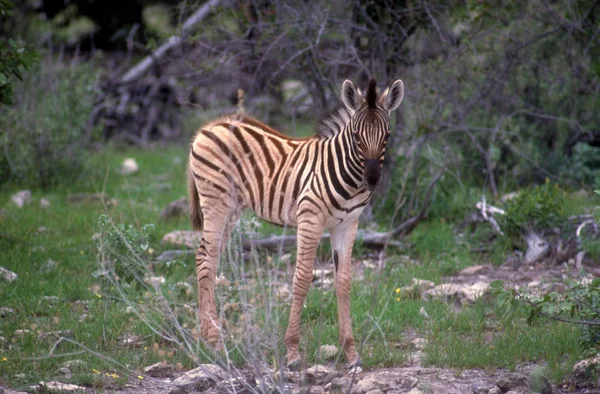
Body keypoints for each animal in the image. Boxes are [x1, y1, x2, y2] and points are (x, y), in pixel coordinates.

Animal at [186, 77, 404, 370]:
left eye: (387, 136)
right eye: (357, 137)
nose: (372, 180)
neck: (347, 175)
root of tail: (210, 126)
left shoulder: (347, 225)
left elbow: (344, 281)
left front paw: (351, 353)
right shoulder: (310, 218)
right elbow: (302, 278)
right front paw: (292, 353)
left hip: (232, 209)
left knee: (210, 259)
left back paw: (207, 339)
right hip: (216, 204)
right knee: (205, 260)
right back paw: (216, 343)